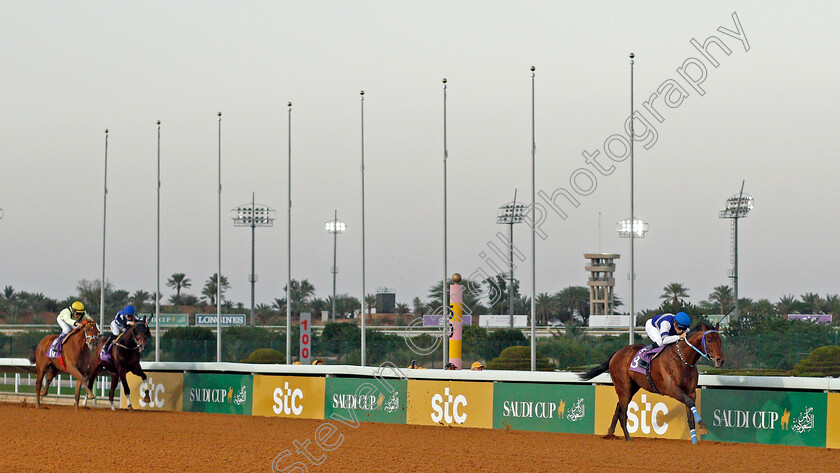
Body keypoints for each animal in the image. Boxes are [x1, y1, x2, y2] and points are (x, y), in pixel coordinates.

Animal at [580, 322, 724, 440]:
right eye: (709, 340)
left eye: (720, 340)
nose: (720, 360)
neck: (682, 359)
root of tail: (616, 353)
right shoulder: (671, 389)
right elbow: (689, 403)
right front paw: (703, 427)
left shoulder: (691, 391)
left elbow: (690, 414)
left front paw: (695, 438)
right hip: (623, 386)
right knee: (623, 413)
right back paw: (628, 439)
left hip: (632, 387)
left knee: (619, 406)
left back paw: (610, 433)